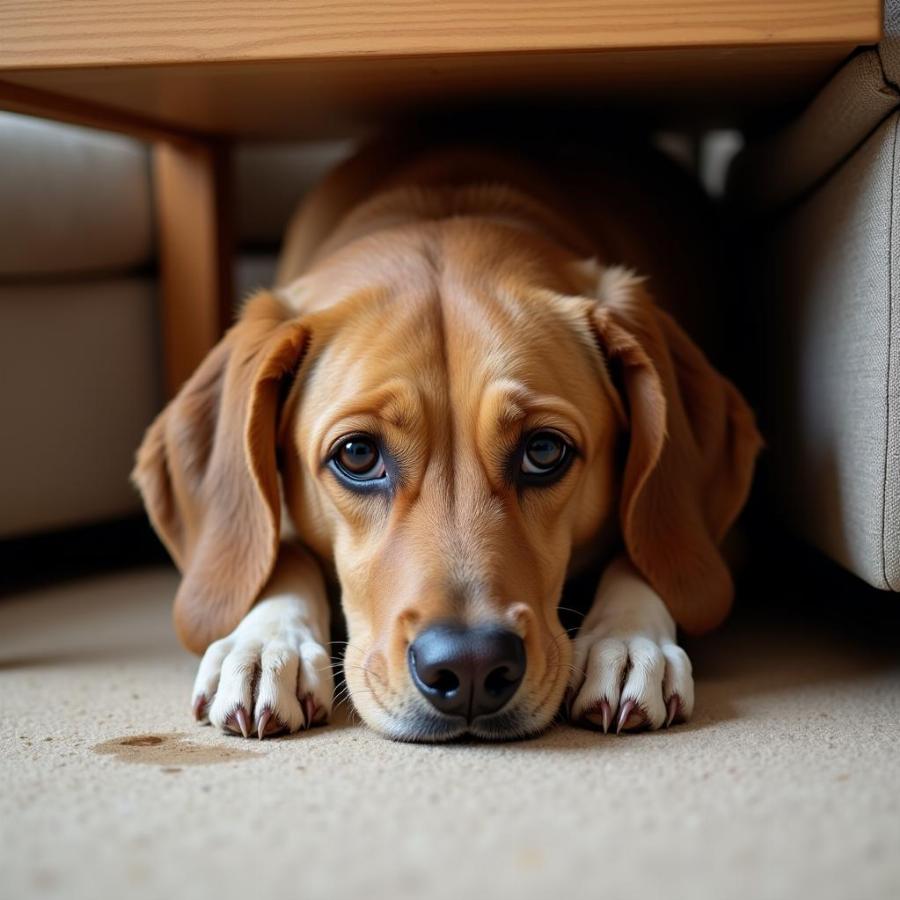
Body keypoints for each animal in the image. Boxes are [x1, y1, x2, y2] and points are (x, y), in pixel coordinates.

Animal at [132, 128, 760, 744]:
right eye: (357, 455)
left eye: (544, 451)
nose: (472, 667)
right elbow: (278, 552)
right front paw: (266, 642)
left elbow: (650, 548)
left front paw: (629, 641)